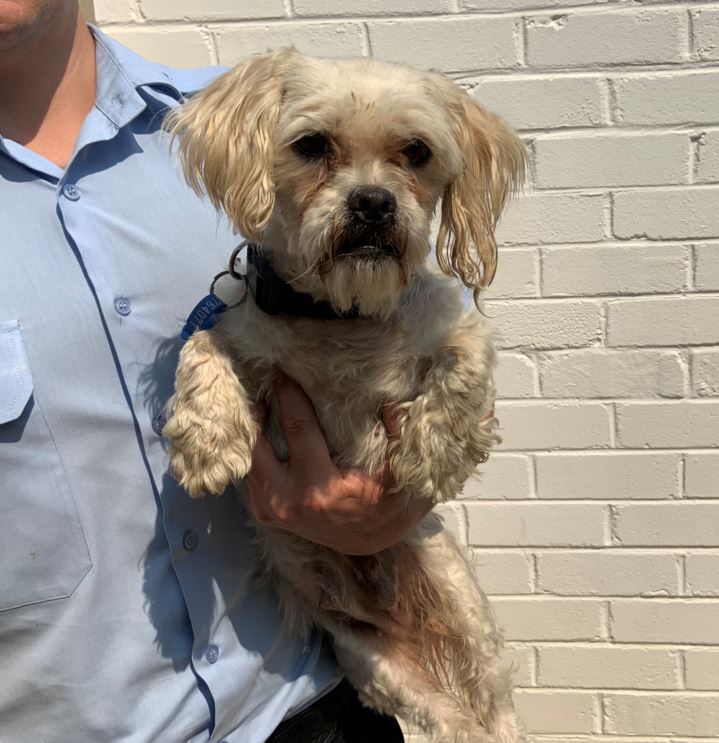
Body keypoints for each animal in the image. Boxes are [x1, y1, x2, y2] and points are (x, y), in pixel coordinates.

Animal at [162, 49, 527, 743]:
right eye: (311, 145)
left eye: (416, 151)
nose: (374, 202)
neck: (340, 315)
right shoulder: (243, 335)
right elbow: (201, 346)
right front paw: (206, 442)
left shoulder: (457, 327)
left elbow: (466, 367)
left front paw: (432, 454)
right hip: (375, 663)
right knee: (451, 723)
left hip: (469, 620)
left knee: (495, 714)